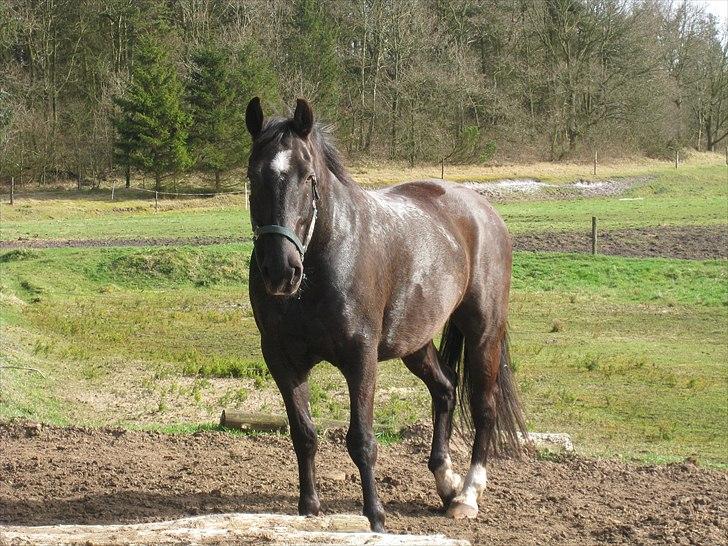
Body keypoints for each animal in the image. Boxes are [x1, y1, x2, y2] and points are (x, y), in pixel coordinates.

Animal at [247, 95, 528, 528]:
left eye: (307, 177)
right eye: (252, 176)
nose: (280, 270)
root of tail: (482, 209)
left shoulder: (360, 356)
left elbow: (361, 440)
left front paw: (375, 516)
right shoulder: (282, 359)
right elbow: (303, 434)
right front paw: (309, 510)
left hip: (484, 332)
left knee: (484, 407)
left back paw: (467, 494)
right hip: (415, 342)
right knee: (445, 388)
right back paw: (446, 481)